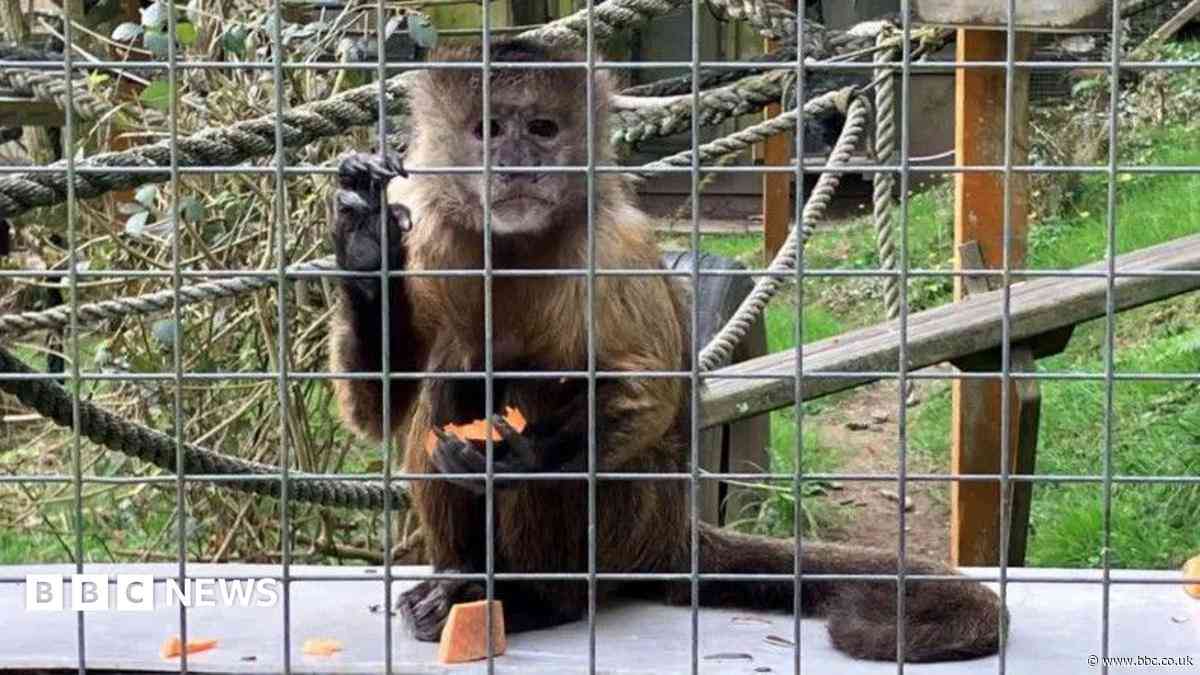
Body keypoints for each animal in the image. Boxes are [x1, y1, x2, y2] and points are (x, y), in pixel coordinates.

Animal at [327, 38, 1005, 662]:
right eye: (488, 130)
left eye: (542, 129)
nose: (516, 163)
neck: (514, 246)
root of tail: (669, 534)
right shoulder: (433, 234)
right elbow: (379, 409)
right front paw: (367, 245)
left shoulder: (613, 245)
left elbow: (647, 399)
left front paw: (515, 456)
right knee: (456, 372)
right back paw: (467, 579)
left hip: (630, 522)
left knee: (521, 378)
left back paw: (541, 598)